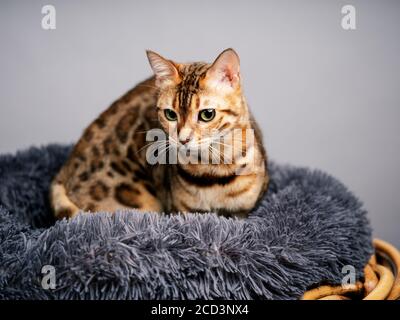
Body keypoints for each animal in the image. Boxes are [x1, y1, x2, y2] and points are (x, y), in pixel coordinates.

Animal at [50, 48, 268, 220]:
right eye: (170, 114)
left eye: (207, 114)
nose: (183, 139)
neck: (212, 173)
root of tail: (63, 173)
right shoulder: (182, 212)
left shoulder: (241, 213)